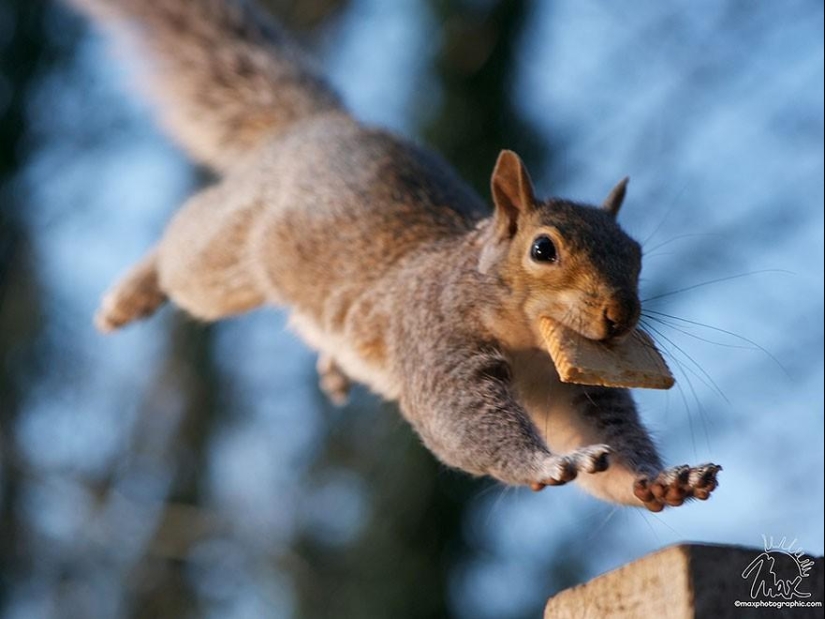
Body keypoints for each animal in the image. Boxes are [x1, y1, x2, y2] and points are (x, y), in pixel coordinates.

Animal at [67, 0, 720, 512]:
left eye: (636, 254)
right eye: (543, 249)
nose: (621, 315)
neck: (529, 341)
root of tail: (323, 126)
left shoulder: (572, 391)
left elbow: (609, 444)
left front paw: (663, 480)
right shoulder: (436, 340)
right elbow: (461, 418)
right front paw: (545, 464)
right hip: (225, 259)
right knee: (183, 250)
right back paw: (131, 294)